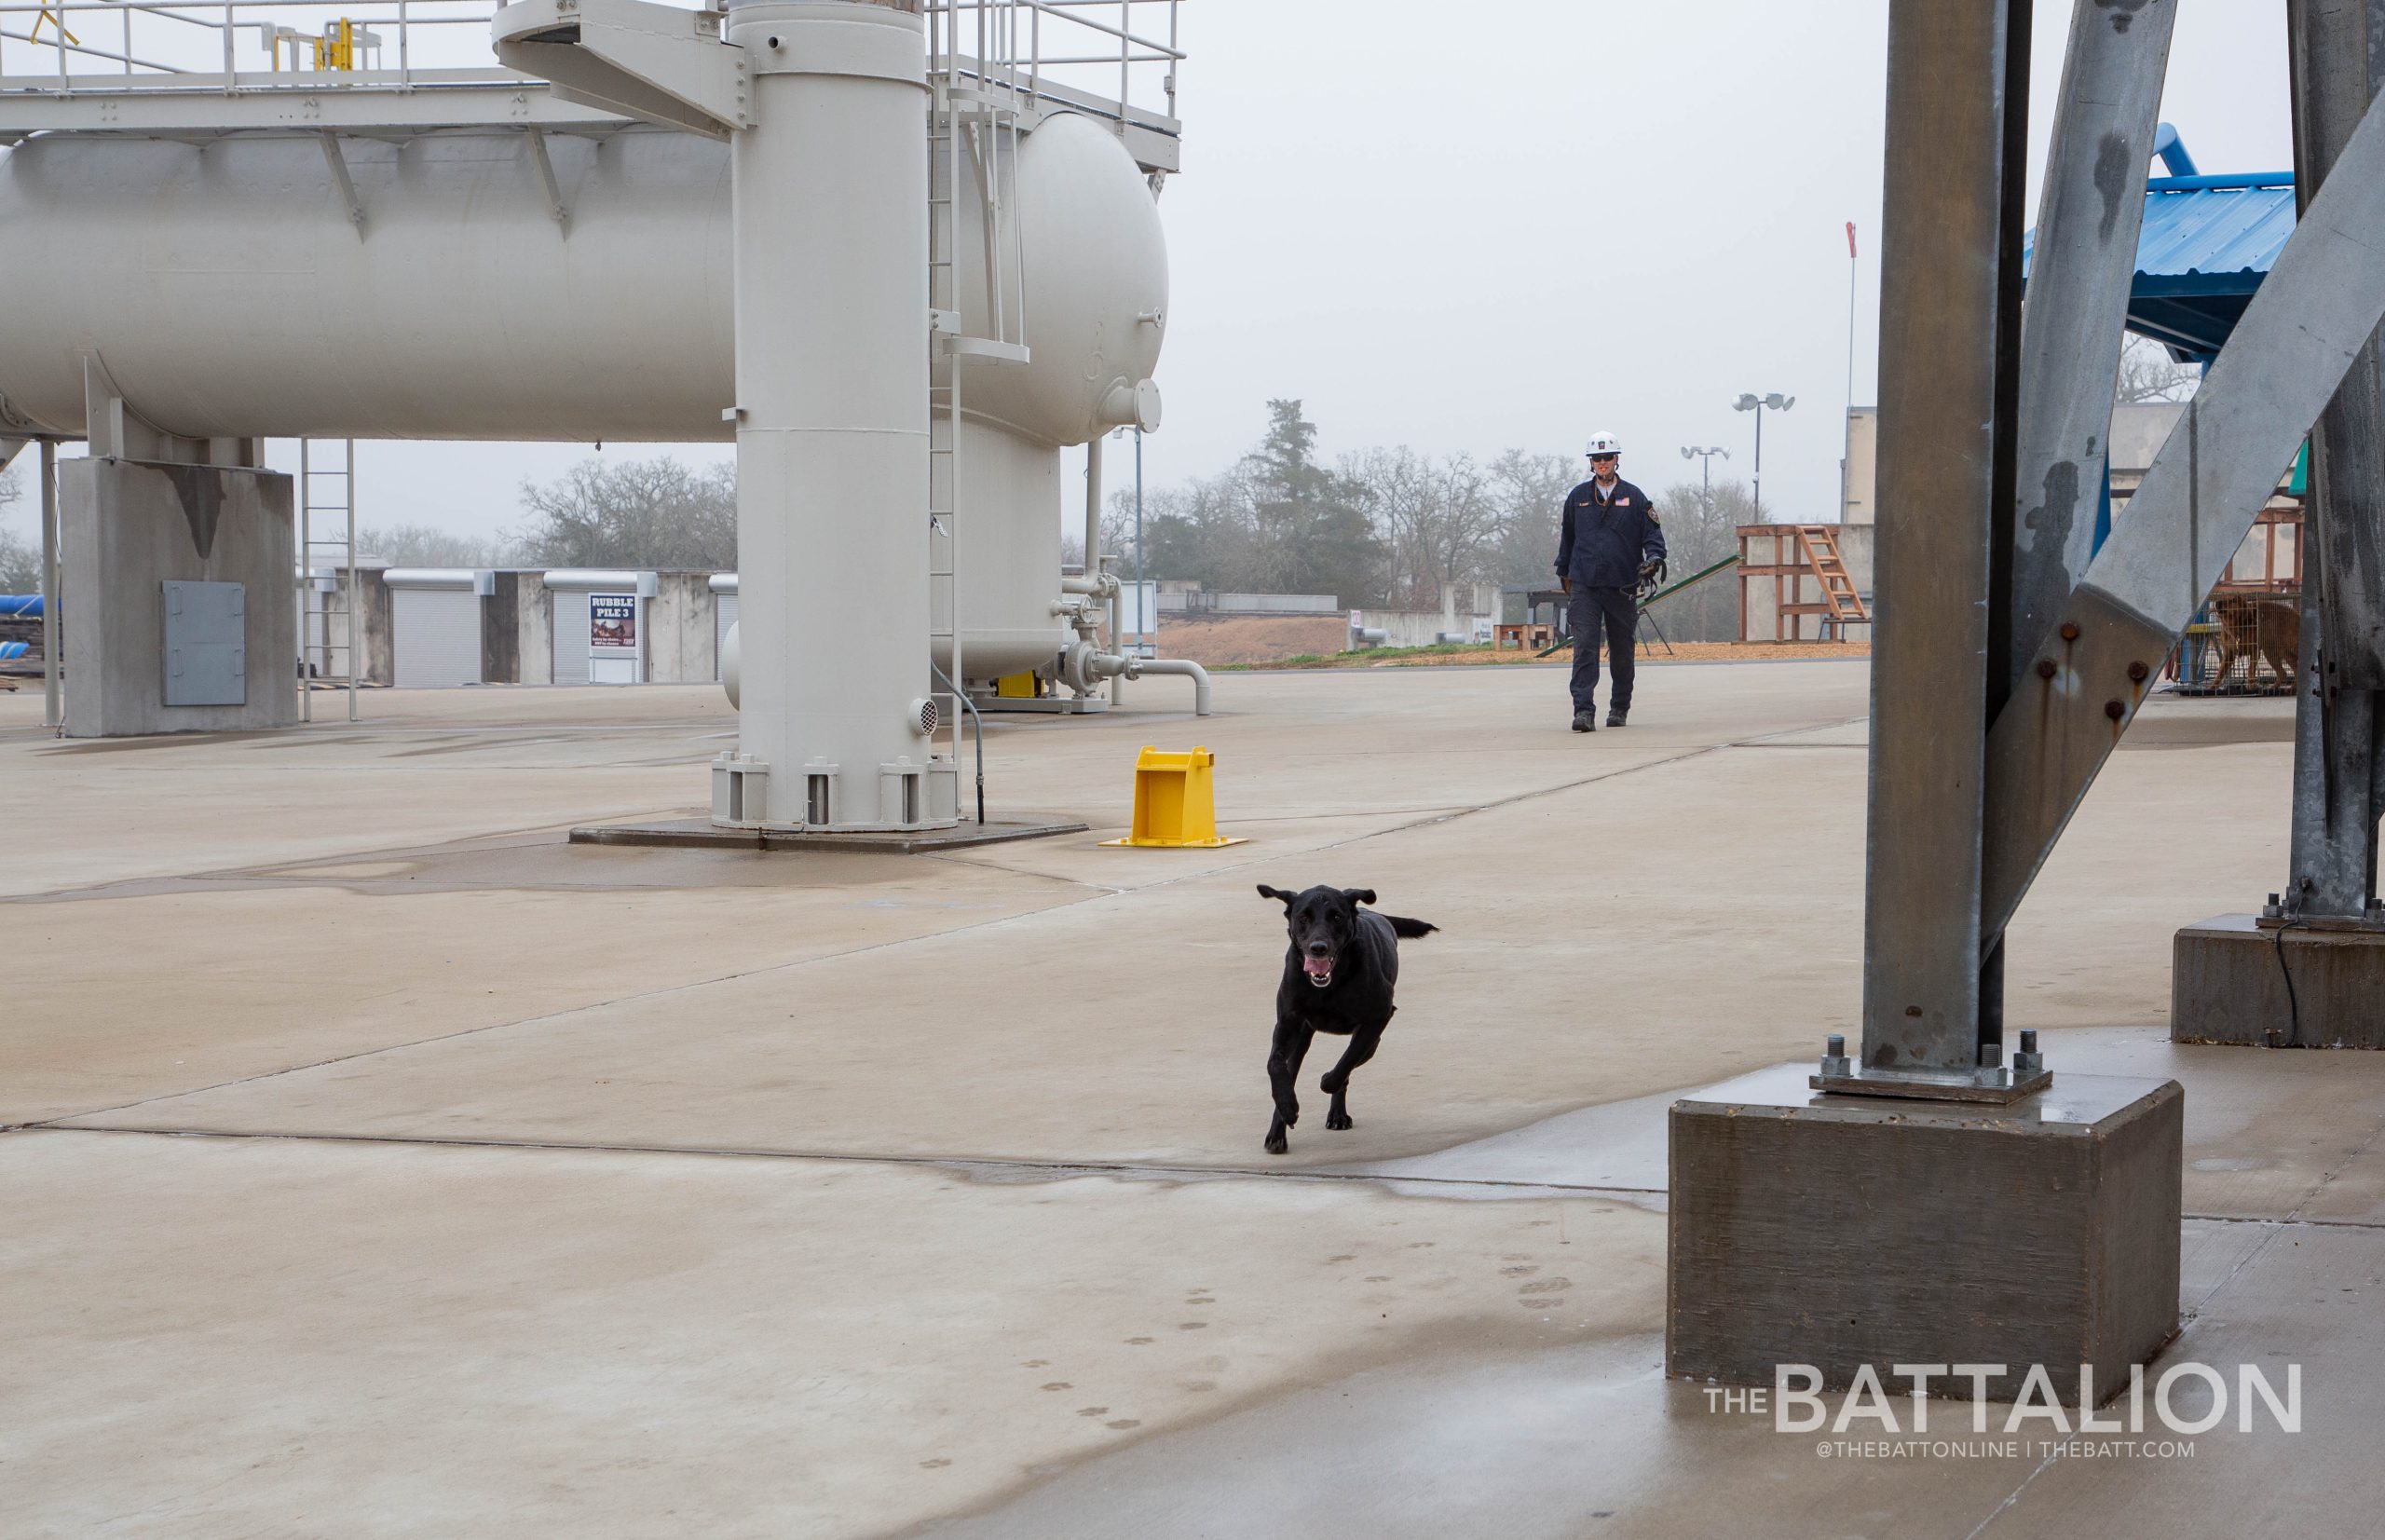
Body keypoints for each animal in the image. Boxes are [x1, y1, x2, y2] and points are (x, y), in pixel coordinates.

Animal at [1259, 886, 1440, 1153]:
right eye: (1303, 918)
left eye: (1336, 917)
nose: (1318, 947)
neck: (1329, 985)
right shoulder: (1287, 1023)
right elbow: (1275, 1064)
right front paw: (1287, 1107)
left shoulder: (1378, 1018)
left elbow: (1344, 1065)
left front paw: (1326, 1079)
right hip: (1303, 1037)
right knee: (1292, 1068)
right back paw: (1278, 1132)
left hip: (1372, 1043)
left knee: (1349, 1064)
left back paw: (1337, 1115)